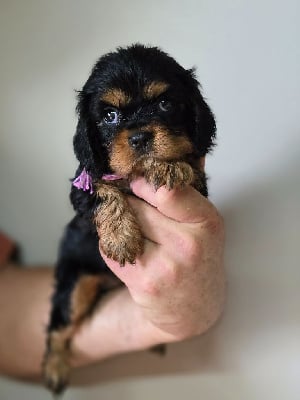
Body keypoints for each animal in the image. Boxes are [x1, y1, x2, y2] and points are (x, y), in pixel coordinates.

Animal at [42, 43, 216, 394]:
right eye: (110, 116)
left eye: (165, 104)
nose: (138, 138)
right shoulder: (82, 187)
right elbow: (104, 191)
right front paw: (121, 239)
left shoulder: (200, 188)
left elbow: (189, 170)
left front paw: (168, 166)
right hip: (73, 284)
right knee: (59, 326)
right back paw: (54, 367)